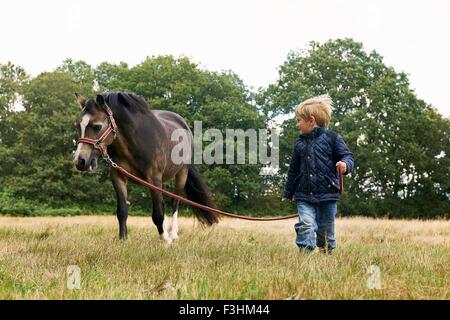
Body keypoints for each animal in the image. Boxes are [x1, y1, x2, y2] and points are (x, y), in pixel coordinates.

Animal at [73, 92, 219, 242]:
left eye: (97, 126)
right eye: (77, 125)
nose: (80, 161)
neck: (136, 141)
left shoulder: (154, 178)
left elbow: (158, 213)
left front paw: (165, 240)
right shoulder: (118, 176)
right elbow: (122, 211)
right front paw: (123, 240)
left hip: (182, 173)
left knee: (175, 201)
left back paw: (173, 234)